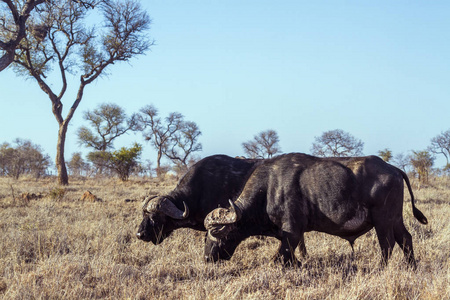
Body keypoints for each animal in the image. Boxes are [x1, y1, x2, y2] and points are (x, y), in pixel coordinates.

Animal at [204, 152, 428, 268]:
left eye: (214, 233)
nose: (207, 258)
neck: (268, 189)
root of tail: (394, 169)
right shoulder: (289, 236)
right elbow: (288, 256)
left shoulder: (293, 232)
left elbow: (278, 257)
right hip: (395, 219)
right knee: (405, 239)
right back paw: (411, 266)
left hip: (382, 221)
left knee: (387, 244)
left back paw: (380, 267)